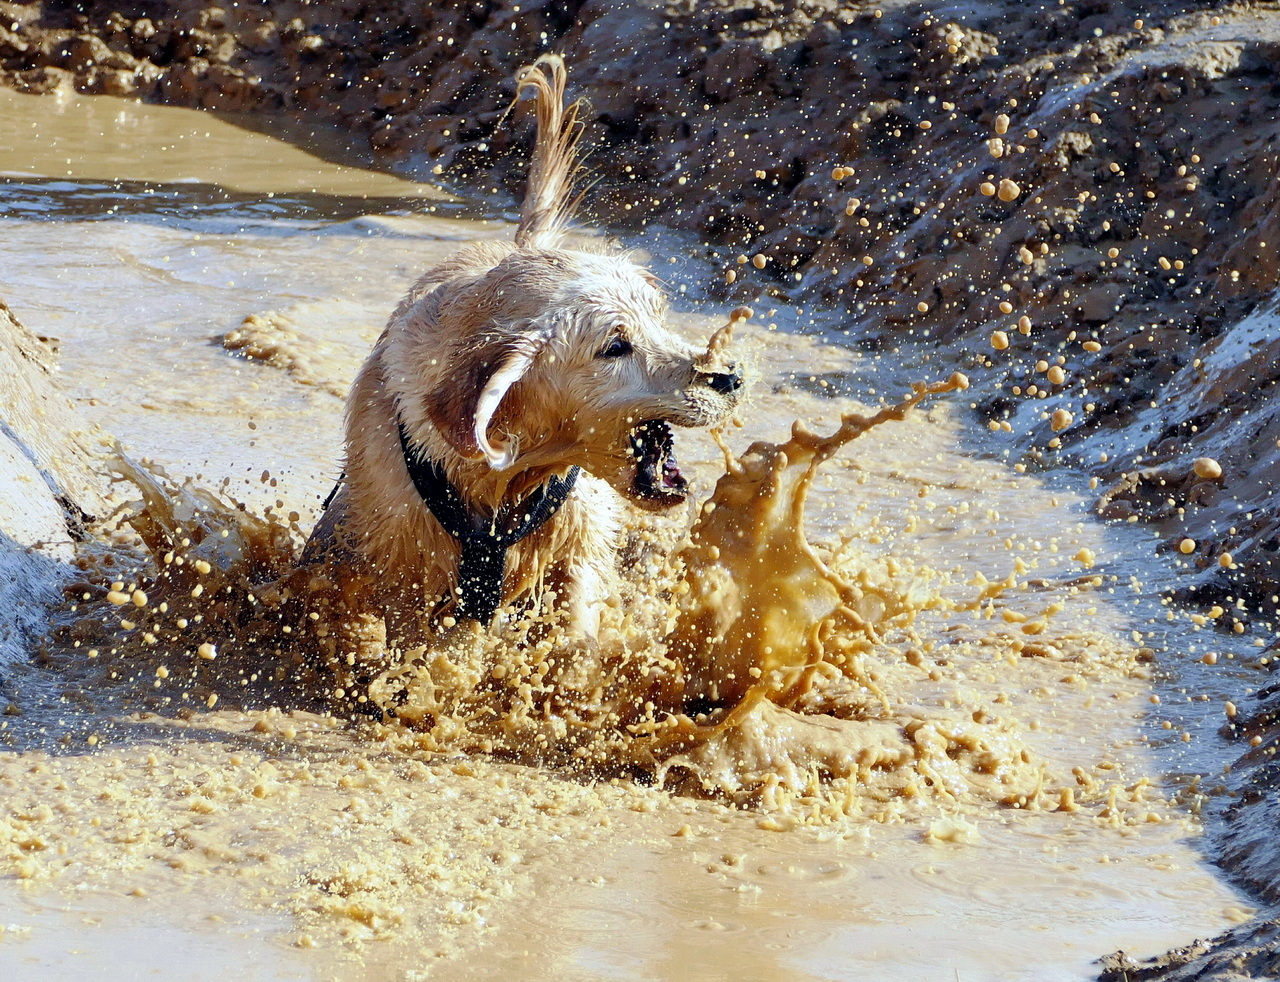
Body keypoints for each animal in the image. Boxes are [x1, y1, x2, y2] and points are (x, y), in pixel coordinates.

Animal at [303, 55, 747, 706]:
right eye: (615, 345)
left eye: (657, 317)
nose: (729, 378)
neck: (507, 476)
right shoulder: (402, 552)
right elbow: (412, 632)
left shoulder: (577, 536)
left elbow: (576, 619)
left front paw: (569, 684)